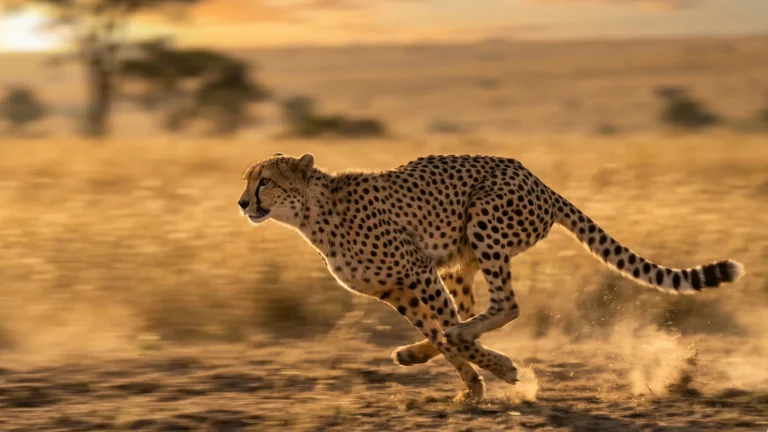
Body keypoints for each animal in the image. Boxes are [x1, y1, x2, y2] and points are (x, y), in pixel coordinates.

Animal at [237, 152, 745, 399]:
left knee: (502, 306)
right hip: (460, 263)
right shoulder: (397, 290)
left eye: (264, 181)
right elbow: (442, 338)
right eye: (247, 180)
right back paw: (415, 353)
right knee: (468, 315)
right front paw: (474, 384)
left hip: (485, 221)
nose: (242, 203)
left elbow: (450, 334)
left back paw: (465, 344)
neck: (311, 215)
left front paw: (500, 371)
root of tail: (539, 181)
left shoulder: (417, 271)